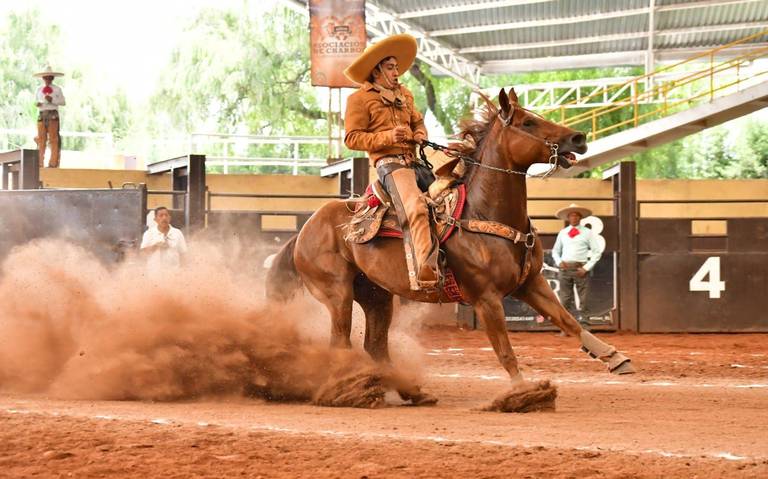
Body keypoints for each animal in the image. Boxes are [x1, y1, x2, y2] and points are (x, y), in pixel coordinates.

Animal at [268, 89, 632, 404]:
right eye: (527, 122)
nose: (579, 138)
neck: (484, 213)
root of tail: (306, 229)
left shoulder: (531, 283)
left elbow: (569, 321)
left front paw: (615, 357)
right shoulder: (486, 298)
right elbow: (504, 349)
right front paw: (523, 394)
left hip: (376, 295)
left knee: (375, 344)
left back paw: (408, 391)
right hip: (337, 293)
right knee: (340, 342)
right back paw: (348, 390)